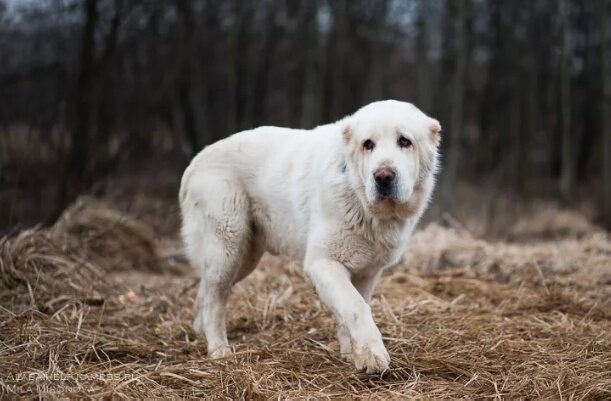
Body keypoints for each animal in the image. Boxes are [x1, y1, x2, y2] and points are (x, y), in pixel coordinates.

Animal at [178, 99, 440, 372]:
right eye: (368, 144)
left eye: (405, 141)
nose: (383, 176)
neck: (359, 197)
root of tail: (196, 160)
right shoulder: (322, 263)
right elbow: (356, 307)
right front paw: (372, 355)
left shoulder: (367, 273)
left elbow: (351, 310)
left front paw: (353, 355)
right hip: (227, 246)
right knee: (215, 298)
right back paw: (219, 351)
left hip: (244, 258)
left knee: (204, 289)